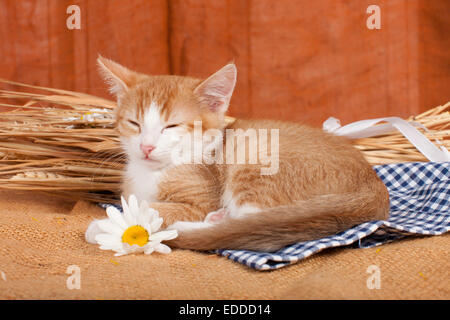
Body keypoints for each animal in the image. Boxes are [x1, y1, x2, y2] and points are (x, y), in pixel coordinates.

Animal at [86, 55, 388, 252]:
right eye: (134, 123)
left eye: (171, 126)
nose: (146, 147)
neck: (154, 171)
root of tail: (372, 183)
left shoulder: (202, 198)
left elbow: (151, 208)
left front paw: (103, 226)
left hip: (258, 161)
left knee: (253, 219)